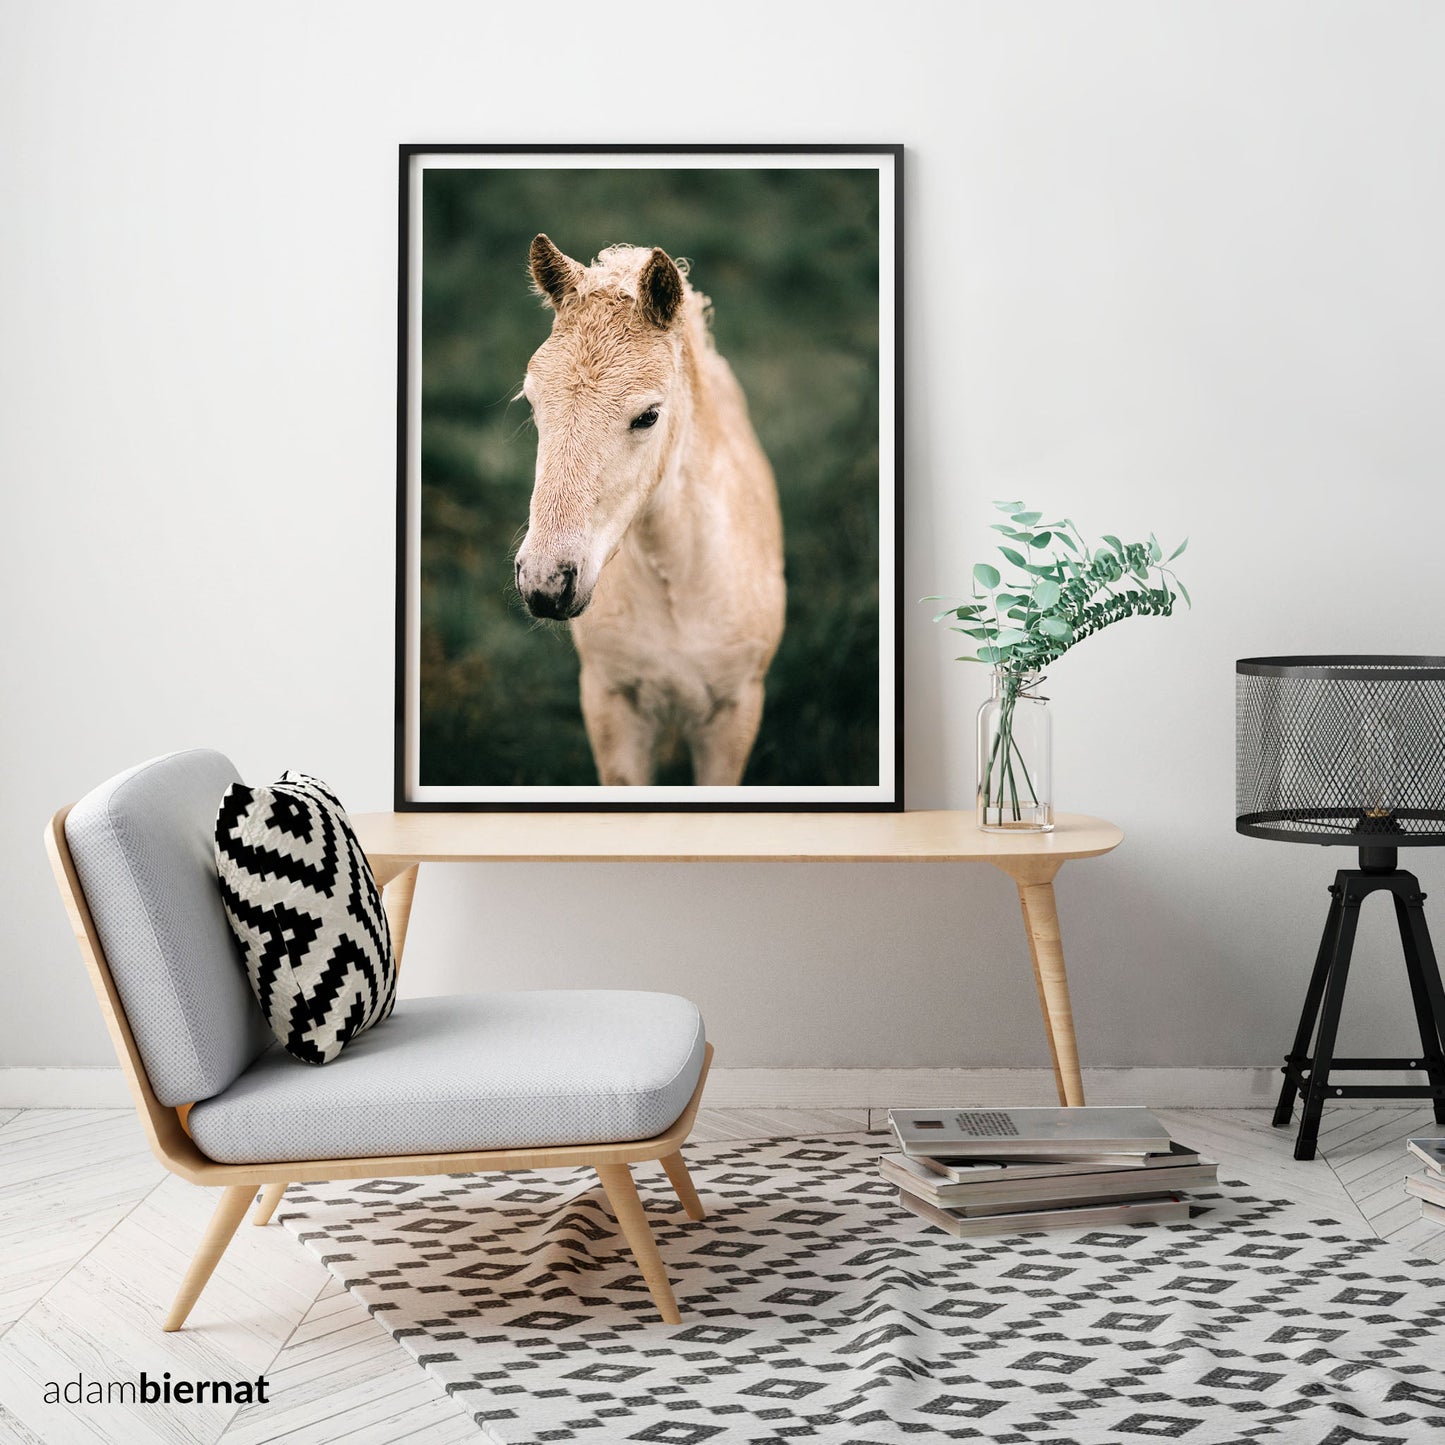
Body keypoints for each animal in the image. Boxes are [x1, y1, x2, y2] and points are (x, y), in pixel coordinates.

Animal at [513, 235, 786, 787]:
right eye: (532, 402)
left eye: (648, 416)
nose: (545, 583)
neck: (679, 584)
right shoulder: (612, 705)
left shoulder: (735, 712)